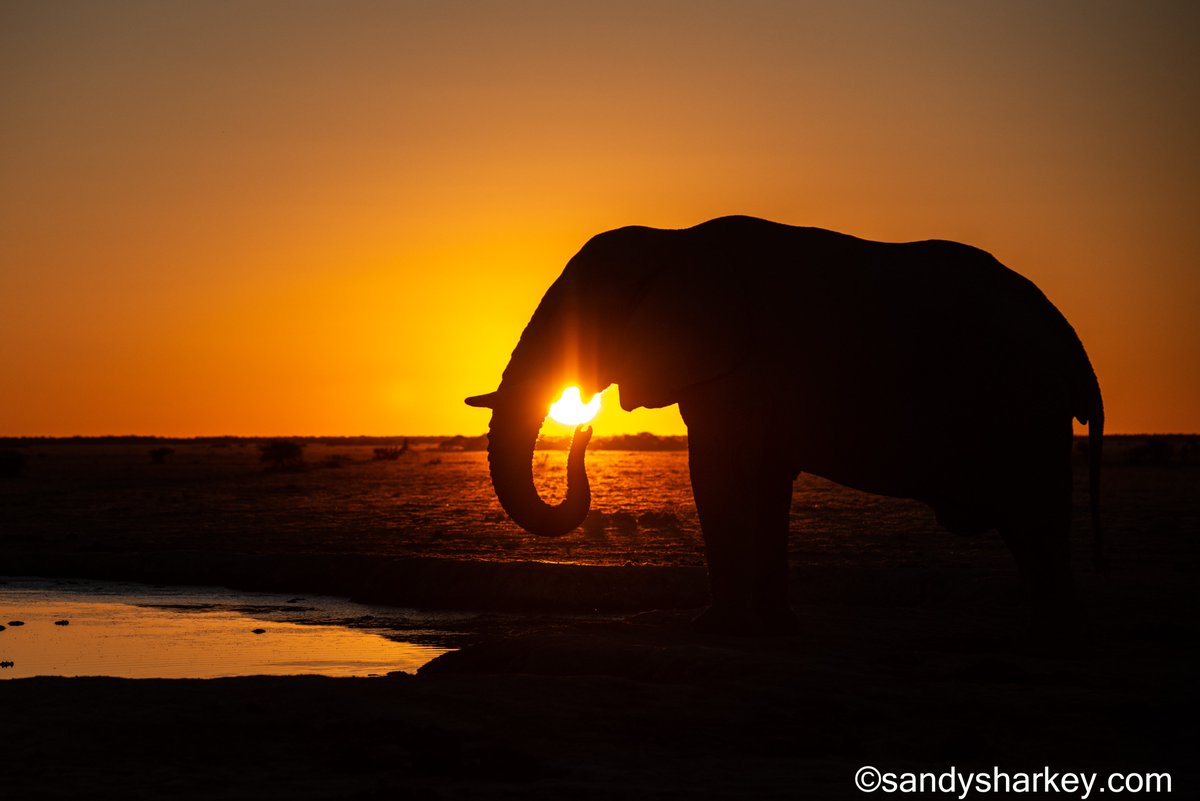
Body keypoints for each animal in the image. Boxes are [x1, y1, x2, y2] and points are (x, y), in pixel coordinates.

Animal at [466, 216, 1103, 633]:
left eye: (588, 318)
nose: (583, 429)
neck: (672, 240)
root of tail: (1072, 343)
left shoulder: (743, 366)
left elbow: (720, 475)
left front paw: (715, 628)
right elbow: (763, 483)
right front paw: (770, 626)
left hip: (1023, 398)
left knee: (1034, 509)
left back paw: (1053, 631)